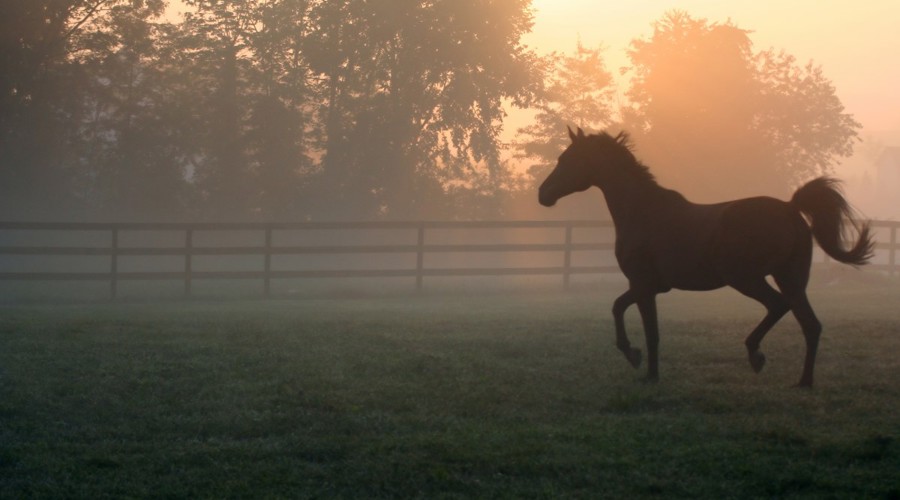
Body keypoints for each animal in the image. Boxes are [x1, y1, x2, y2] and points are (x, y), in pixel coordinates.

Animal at [539, 127, 873, 387]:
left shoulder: (644, 285)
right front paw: (634, 356)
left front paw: (647, 371)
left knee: (779, 306)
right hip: (791, 279)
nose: (543, 194)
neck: (643, 212)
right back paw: (803, 381)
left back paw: (756, 355)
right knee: (810, 324)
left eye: (568, 159)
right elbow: (619, 307)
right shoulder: (649, 286)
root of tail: (790, 208)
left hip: (747, 278)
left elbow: (649, 330)